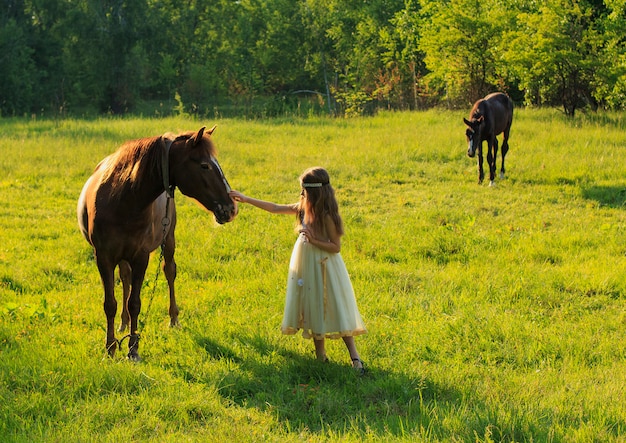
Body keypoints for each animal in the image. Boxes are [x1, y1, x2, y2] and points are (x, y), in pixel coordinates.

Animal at [76, 125, 236, 360]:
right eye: (204, 165)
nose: (231, 208)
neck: (121, 199)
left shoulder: (141, 257)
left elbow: (135, 303)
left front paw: (133, 349)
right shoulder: (103, 257)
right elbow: (110, 304)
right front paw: (110, 347)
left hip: (168, 241)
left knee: (169, 271)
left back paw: (173, 319)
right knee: (125, 278)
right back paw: (123, 324)